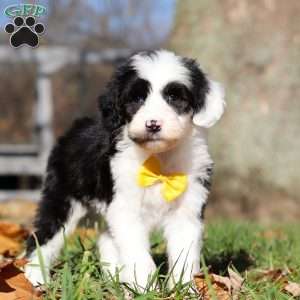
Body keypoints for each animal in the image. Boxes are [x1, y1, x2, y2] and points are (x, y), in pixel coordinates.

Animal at [24, 49, 224, 288]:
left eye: (174, 97)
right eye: (137, 99)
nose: (153, 124)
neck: (158, 160)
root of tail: (76, 128)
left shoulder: (187, 209)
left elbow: (184, 253)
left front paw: (183, 289)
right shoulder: (126, 208)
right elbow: (137, 252)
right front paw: (146, 287)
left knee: (107, 239)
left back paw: (113, 279)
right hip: (62, 199)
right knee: (44, 237)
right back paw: (34, 278)